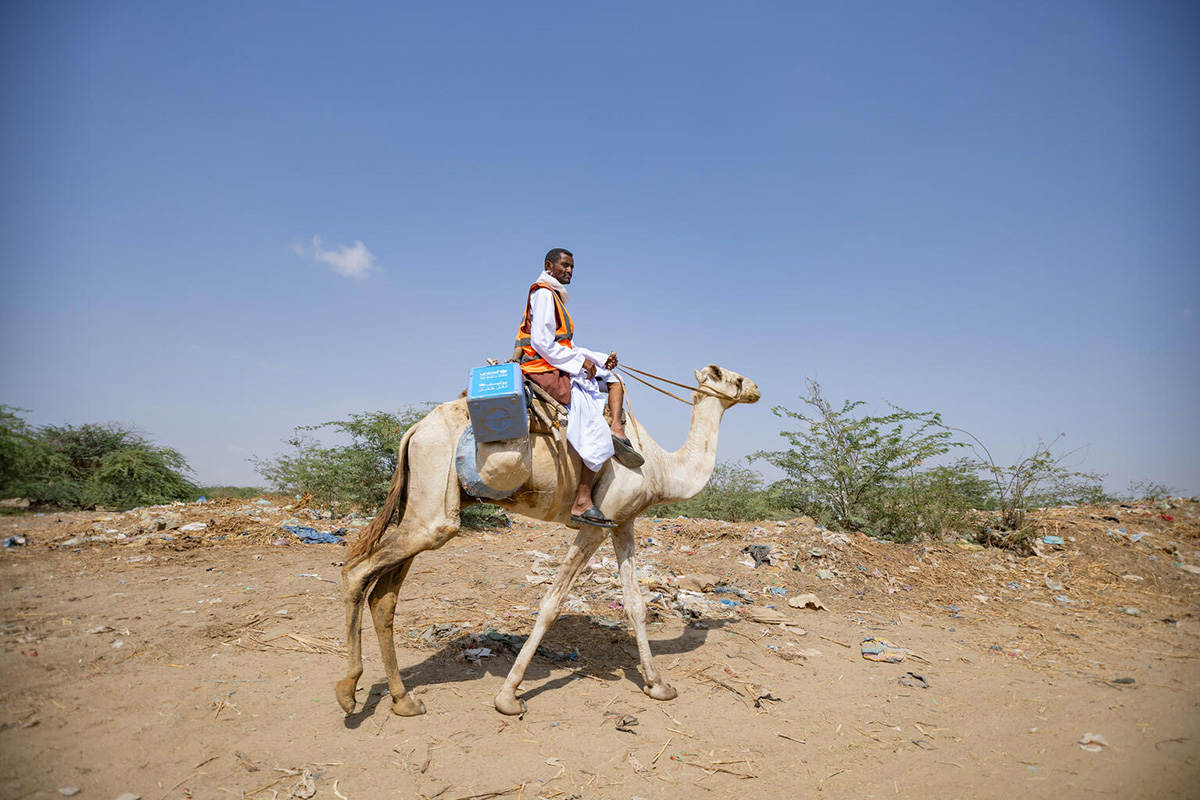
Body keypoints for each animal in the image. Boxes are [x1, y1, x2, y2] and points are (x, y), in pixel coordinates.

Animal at [336, 362, 758, 719]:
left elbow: (636, 605)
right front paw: (508, 697)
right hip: (434, 499)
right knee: (358, 569)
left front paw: (658, 686)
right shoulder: (595, 523)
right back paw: (347, 691)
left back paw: (403, 701)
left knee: (384, 596)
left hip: (422, 504)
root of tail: (415, 431)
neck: (660, 468)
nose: (756, 388)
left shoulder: (623, 522)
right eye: (732, 377)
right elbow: (551, 604)